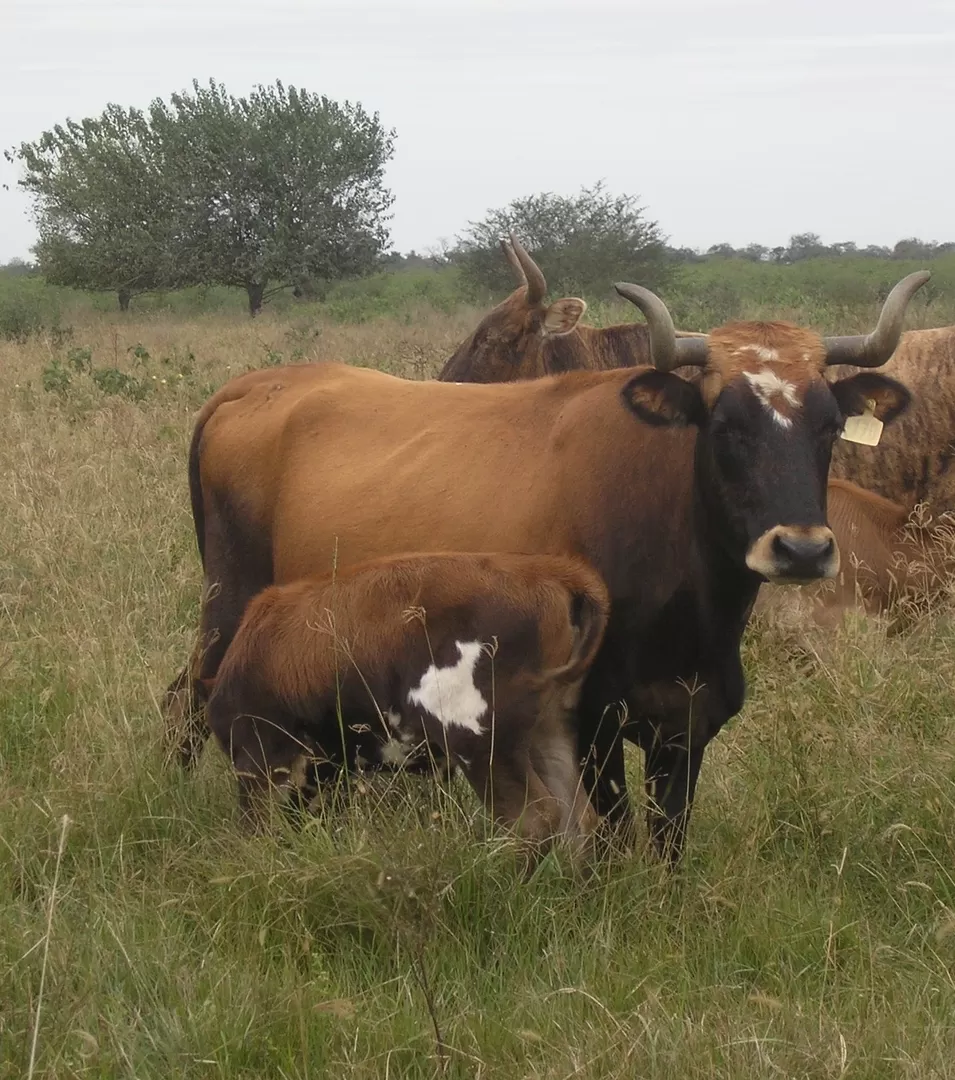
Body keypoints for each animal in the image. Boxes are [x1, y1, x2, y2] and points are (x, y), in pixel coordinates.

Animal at [205, 548, 609, 859]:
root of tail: (546, 572)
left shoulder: (259, 757)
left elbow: (256, 835)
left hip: (478, 739)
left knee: (533, 822)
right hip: (548, 729)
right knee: (579, 820)